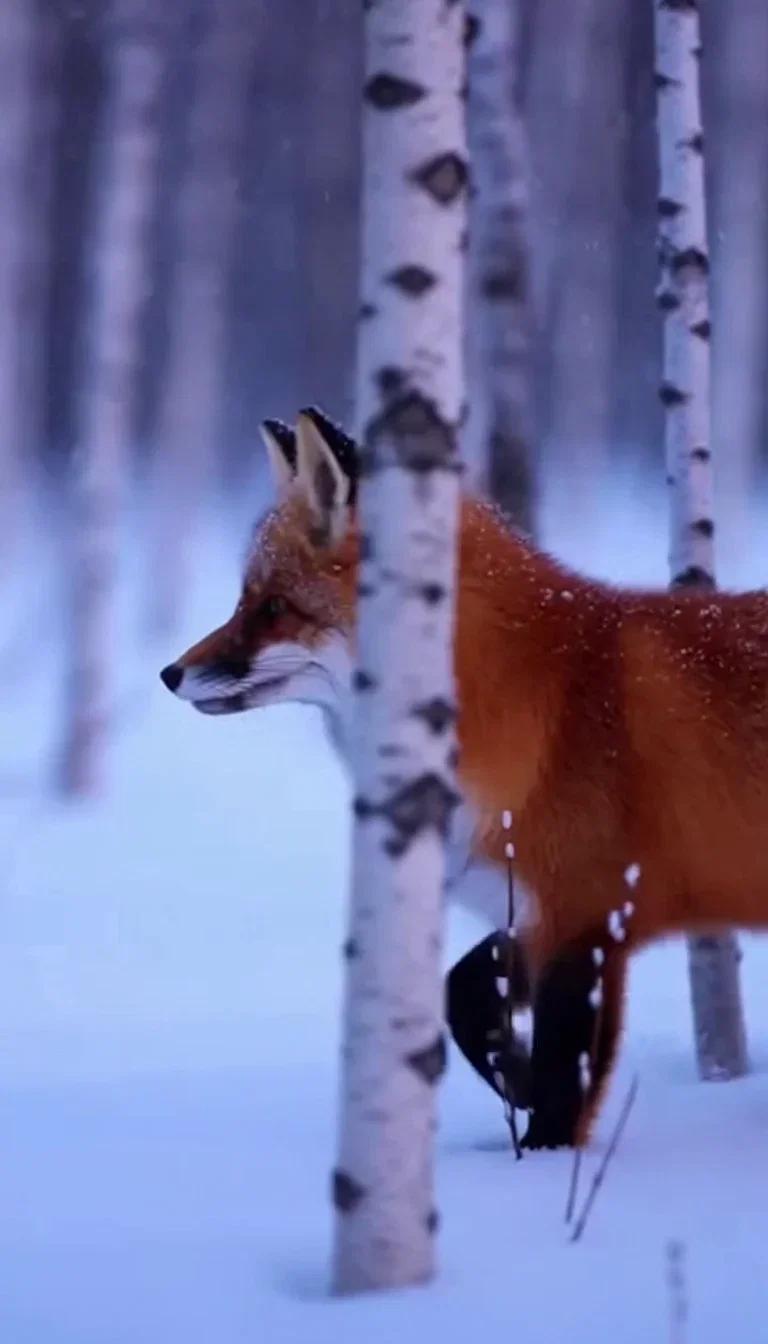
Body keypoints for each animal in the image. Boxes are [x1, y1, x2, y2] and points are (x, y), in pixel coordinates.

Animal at [161, 404, 767, 1149]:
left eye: (273, 607)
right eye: (243, 600)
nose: (170, 673)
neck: (540, 705)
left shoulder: (586, 914)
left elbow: (564, 1082)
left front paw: (539, 1157)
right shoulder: (532, 909)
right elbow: (462, 993)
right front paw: (515, 1080)